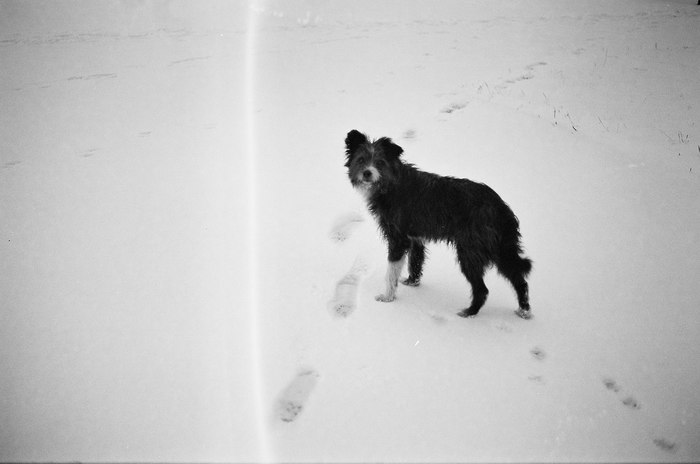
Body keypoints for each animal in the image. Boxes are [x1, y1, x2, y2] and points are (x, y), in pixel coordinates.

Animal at [344, 130, 532, 320]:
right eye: (361, 160)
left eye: (380, 162)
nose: (367, 173)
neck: (391, 184)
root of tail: (500, 207)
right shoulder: (415, 238)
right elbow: (415, 262)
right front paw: (412, 282)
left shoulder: (398, 239)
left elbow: (391, 271)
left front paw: (387, 297)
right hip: (499, 249)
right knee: (518, 278)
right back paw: (524, 310)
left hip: (470, 251)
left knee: (483, 289)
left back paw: (470, 312)